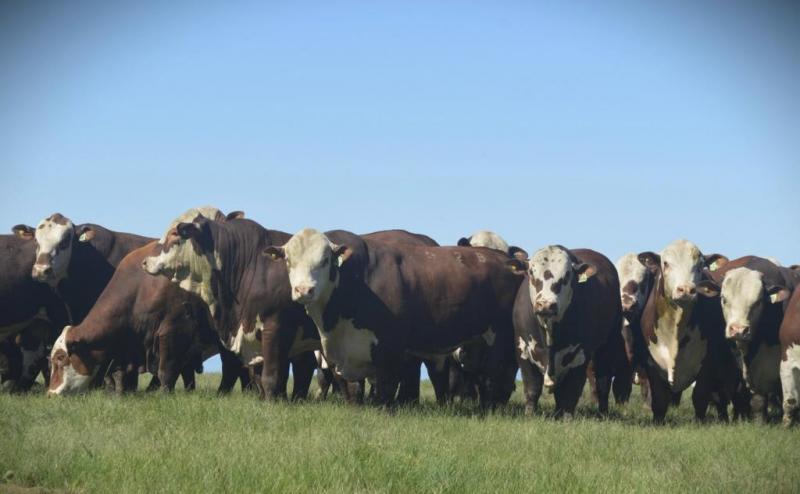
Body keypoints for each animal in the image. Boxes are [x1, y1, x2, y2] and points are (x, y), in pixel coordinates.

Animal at [264, 230, 524, 408]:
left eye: (325, 260)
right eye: (288, 260)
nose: (303, 290)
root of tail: (506, 262)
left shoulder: (389, 346)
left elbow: (385, 385)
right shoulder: (339, 353)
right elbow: (349, 388)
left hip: (500, 339)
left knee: (497, 377)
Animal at [506, 245, 632, 418]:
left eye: (566, 276)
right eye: (531, 272)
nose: (545, 305)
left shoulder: (580, 355)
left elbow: (571, 392)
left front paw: (567, 418)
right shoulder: (523, 349)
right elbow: (532, 388)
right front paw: (529, 415)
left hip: (607, 344)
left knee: (602, 384)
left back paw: (602, 413)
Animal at [636, 240, 748, 424]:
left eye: (700, 265)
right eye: (665, 263)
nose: (687, 290)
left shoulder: (708, 363)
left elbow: (700, 397)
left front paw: (699, 422)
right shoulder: (652, 363)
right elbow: (659, 399)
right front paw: (657, 422)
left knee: (724, 397)